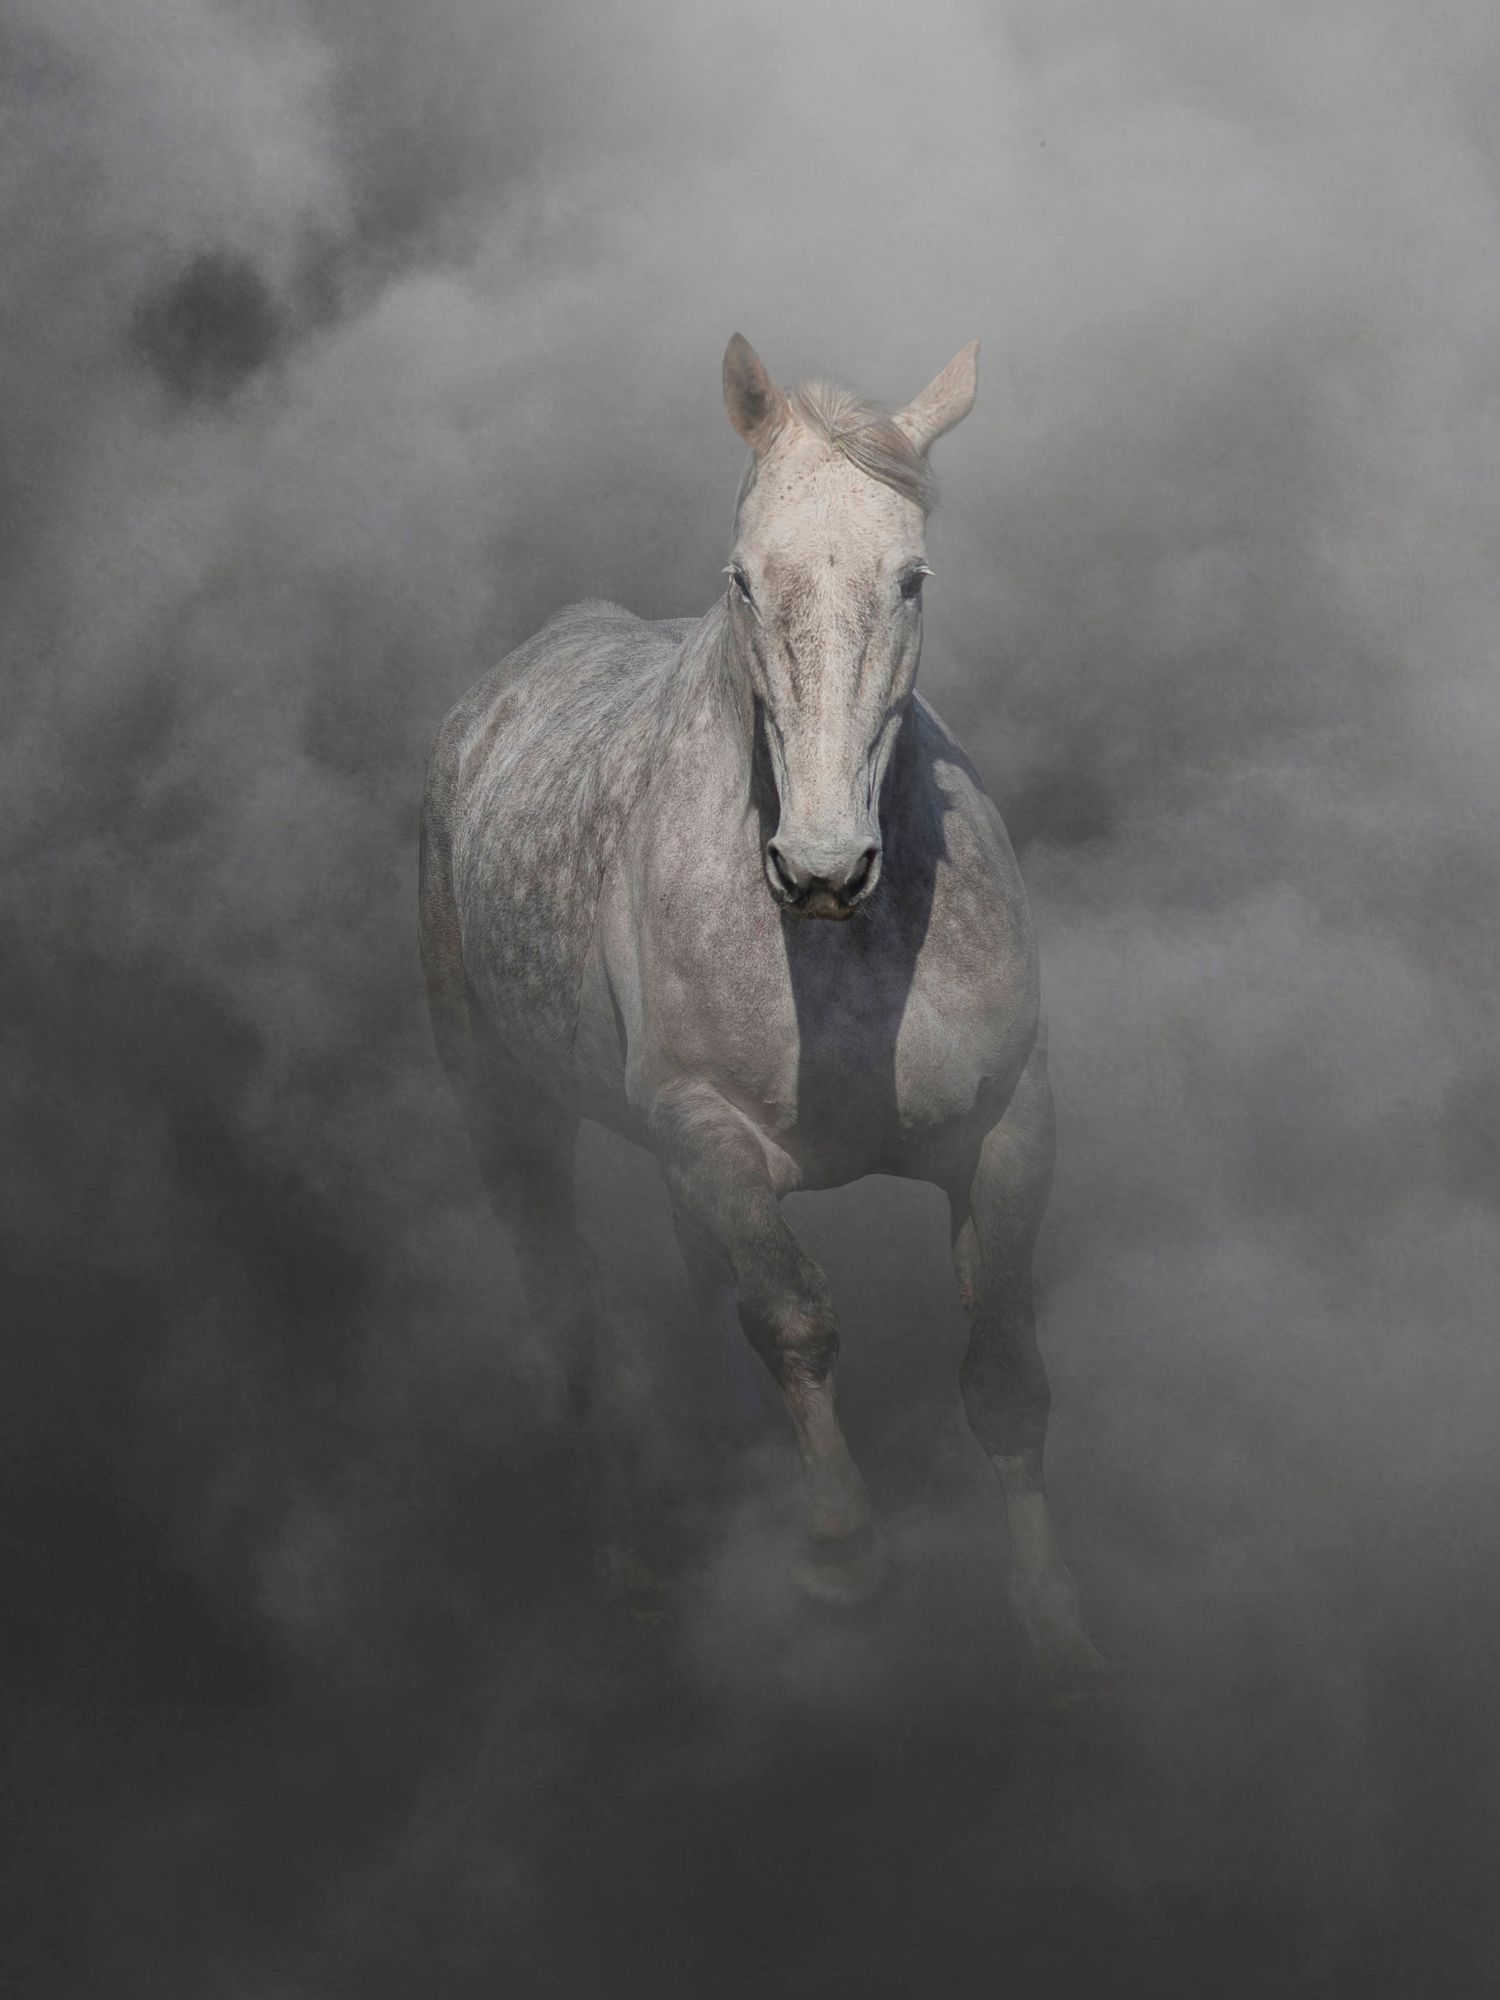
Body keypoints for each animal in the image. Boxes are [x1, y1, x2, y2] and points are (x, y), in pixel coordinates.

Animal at [418, 333, 1106, 1697]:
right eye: (742, 579)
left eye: (911, 576)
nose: (823, 864)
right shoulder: (712, 1138)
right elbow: (794, 1318)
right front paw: (840, 1555)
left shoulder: (1009, 1125)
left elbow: (1002, 1366)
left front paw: (1053, 1621)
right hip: (508, 1113)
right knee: (578, 1326)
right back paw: (634, 1571)